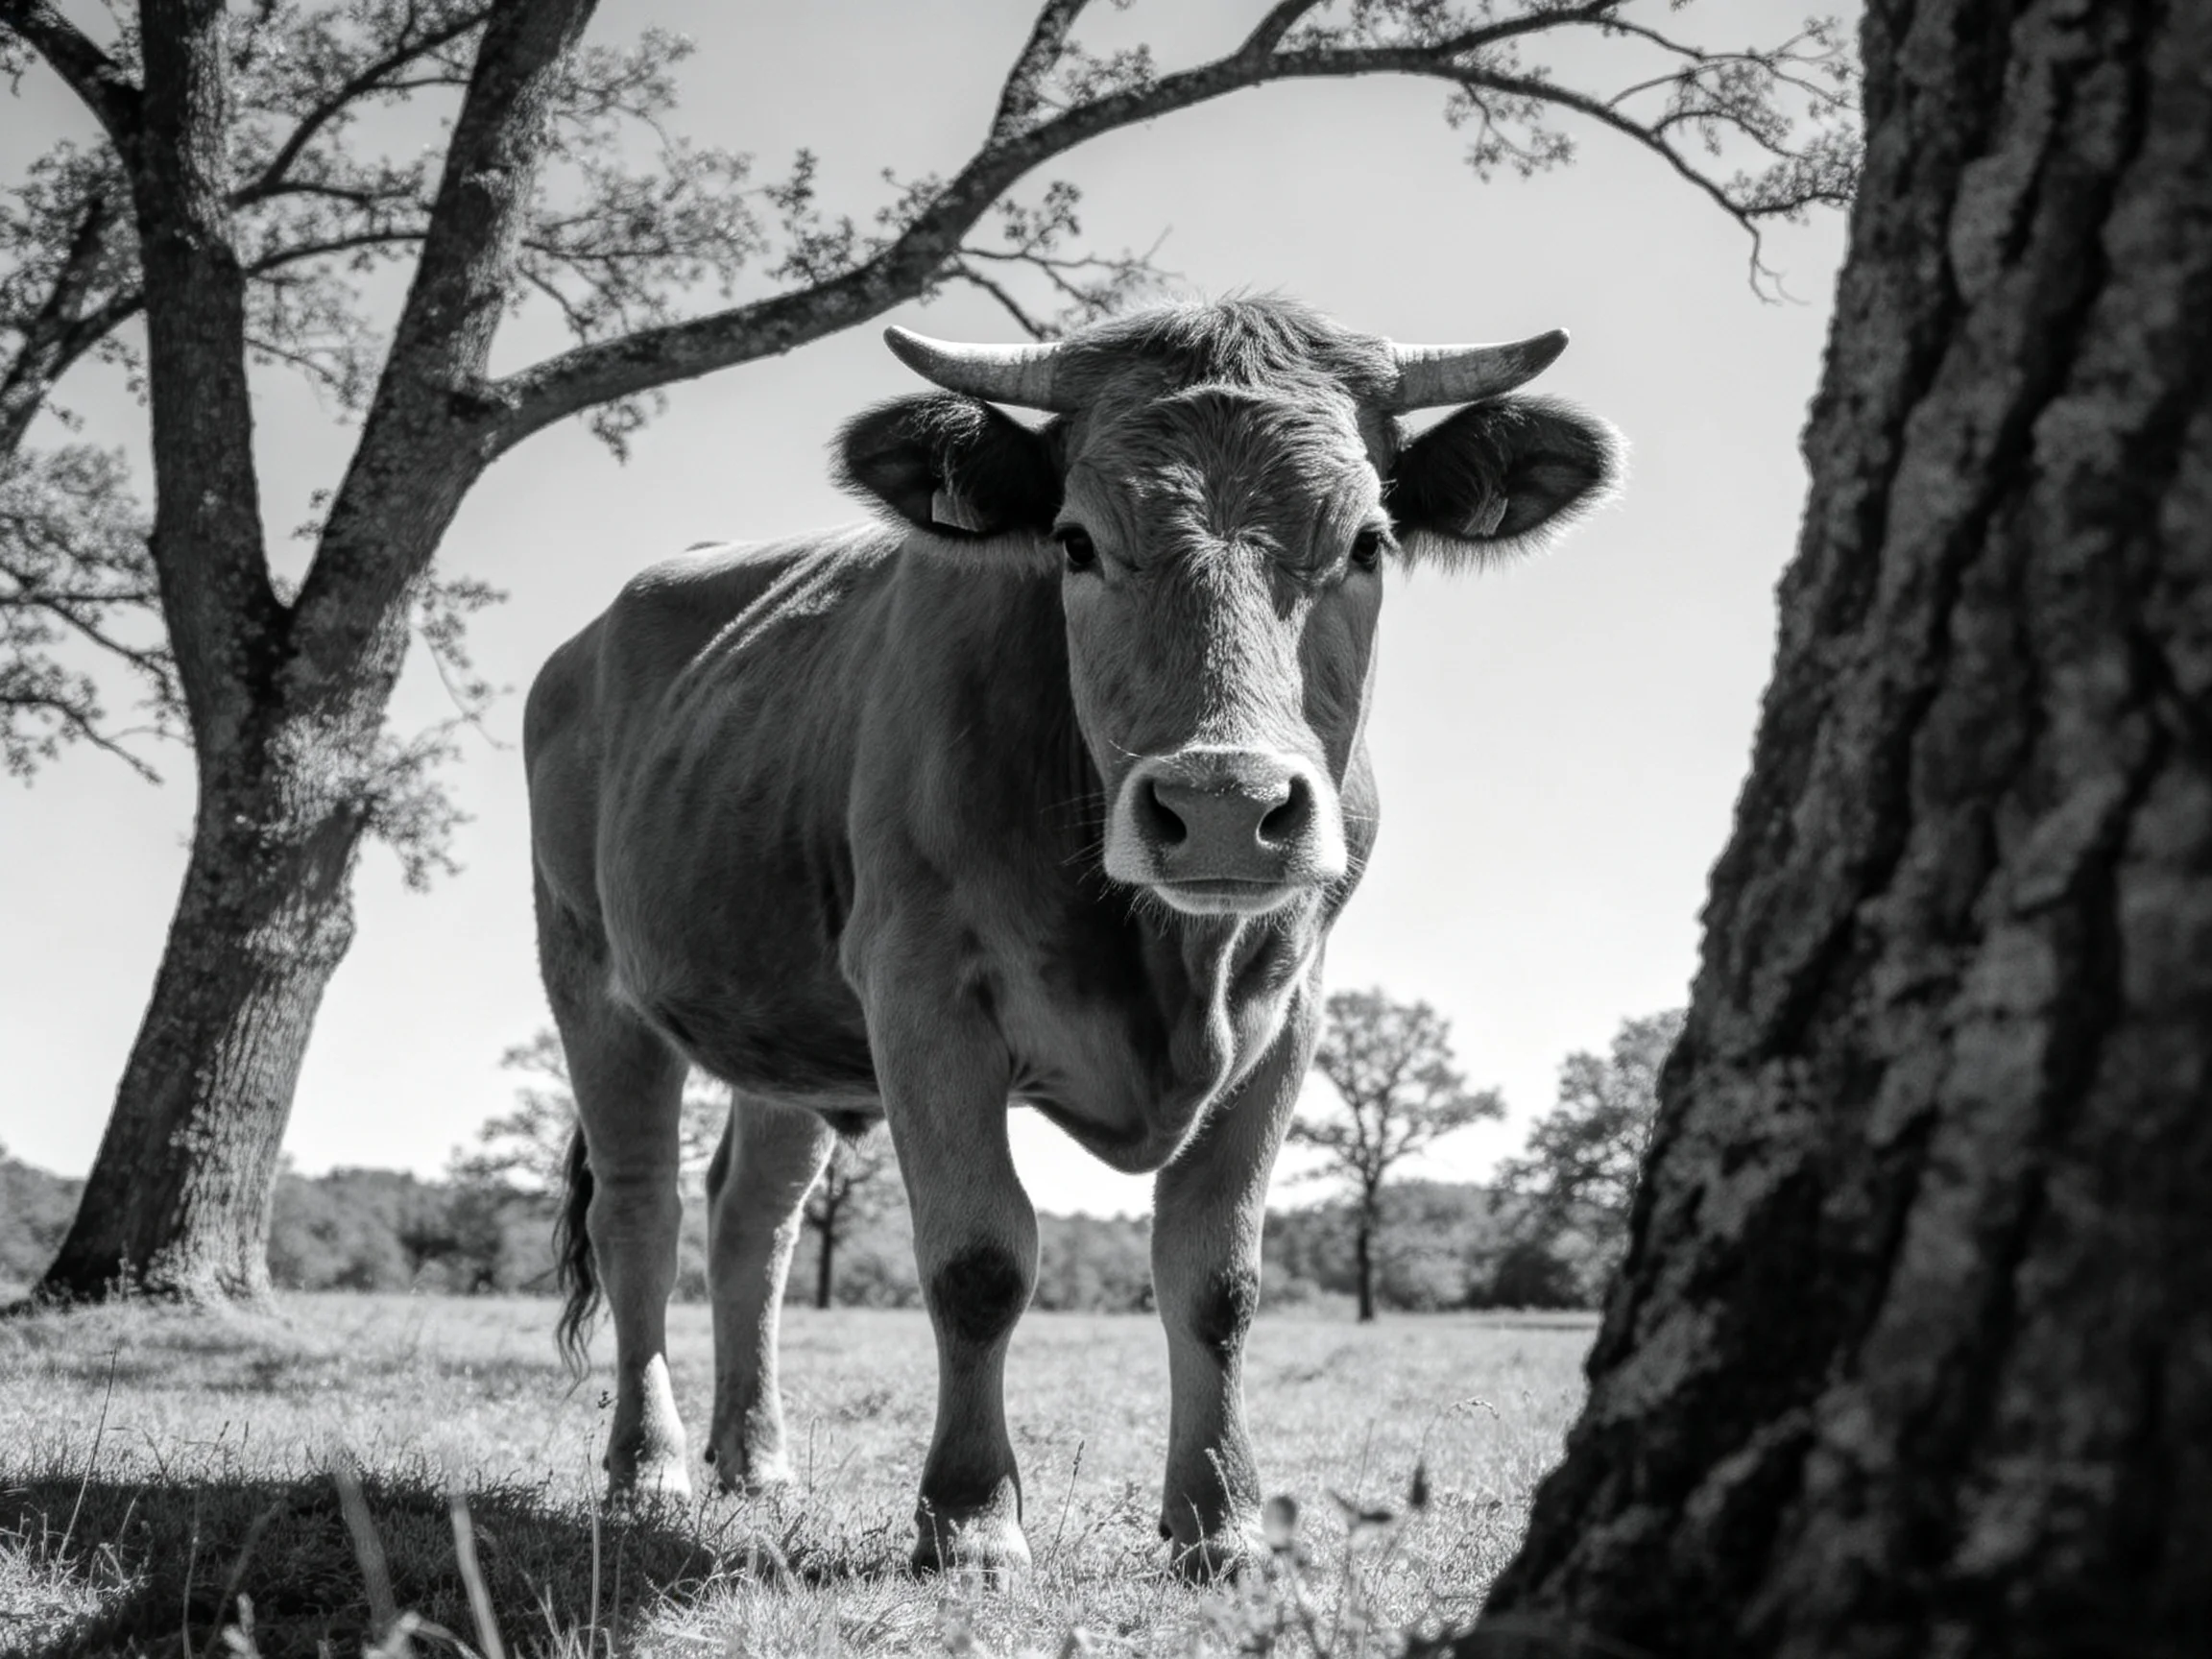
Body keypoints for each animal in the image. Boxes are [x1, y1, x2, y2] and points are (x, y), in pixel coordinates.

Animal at [524, 296, 1619, 1578]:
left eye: (1367, 544)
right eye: (1077, 542)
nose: (1225, 806)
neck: (1170, 963)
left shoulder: (1291, 1011)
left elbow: (1218, 1278)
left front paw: (1222, 1521)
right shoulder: (922, 994)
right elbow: (980, 1260)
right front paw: (970, 1518)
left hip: (783, 1027)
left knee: (754, 1217)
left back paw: (755, 1462)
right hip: (592, 980)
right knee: (637, 1213)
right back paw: (646, 1469)